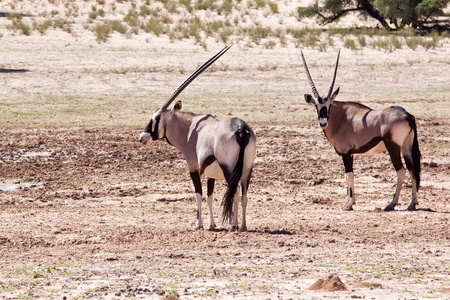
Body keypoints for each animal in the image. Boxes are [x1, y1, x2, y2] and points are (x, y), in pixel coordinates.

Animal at [137, 45, 256, 231]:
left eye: (156, 118)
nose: (143, 137)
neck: (191, 128)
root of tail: (241, 129)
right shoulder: (210, 175)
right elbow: (209, 196)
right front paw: (212, 224)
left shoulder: (193, 168)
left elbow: (198, 195)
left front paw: (198, 224)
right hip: (246, 170)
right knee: (243, 195)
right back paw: (242, 226)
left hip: (230, 170)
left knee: (235, 194)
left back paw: (233, 226)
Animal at [300, 50, 420, 211]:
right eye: (316, 106)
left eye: (329, 105)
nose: (323, 122)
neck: (341, 119)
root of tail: (407, 115)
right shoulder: (350, 154)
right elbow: (349, 175)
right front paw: (349, 202)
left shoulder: (345, 153)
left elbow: (348, 175)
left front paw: (348, 204)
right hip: (407, 146)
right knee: (413, 170)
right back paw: (412, 203)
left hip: (393, 147)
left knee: (401, 171)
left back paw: (391, 204)